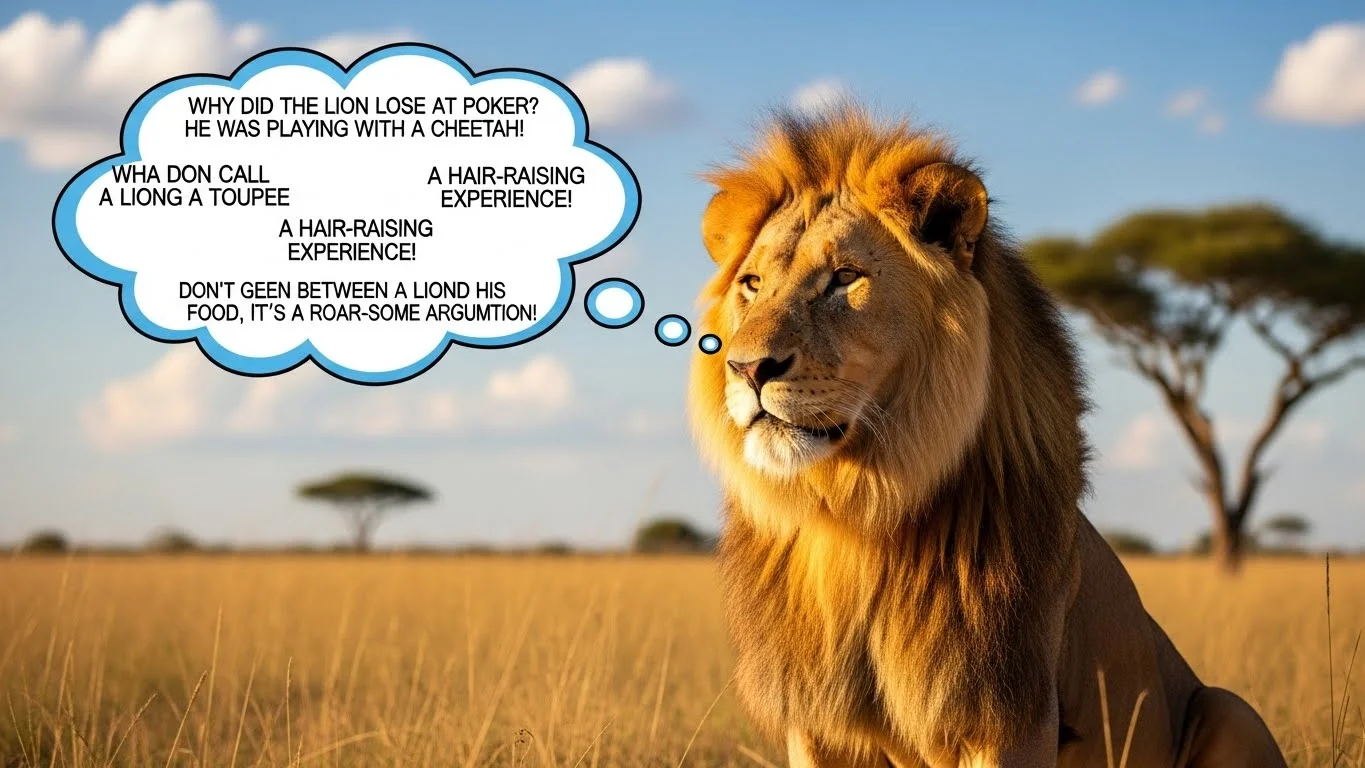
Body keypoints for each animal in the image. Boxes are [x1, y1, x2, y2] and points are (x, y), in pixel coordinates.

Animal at [686, 108, 1288, 768]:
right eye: (752, 283)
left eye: (845, 278)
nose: (745, 368)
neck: (852, 517)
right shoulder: (816, 719)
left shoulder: (1009, 711)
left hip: (1230, 707)